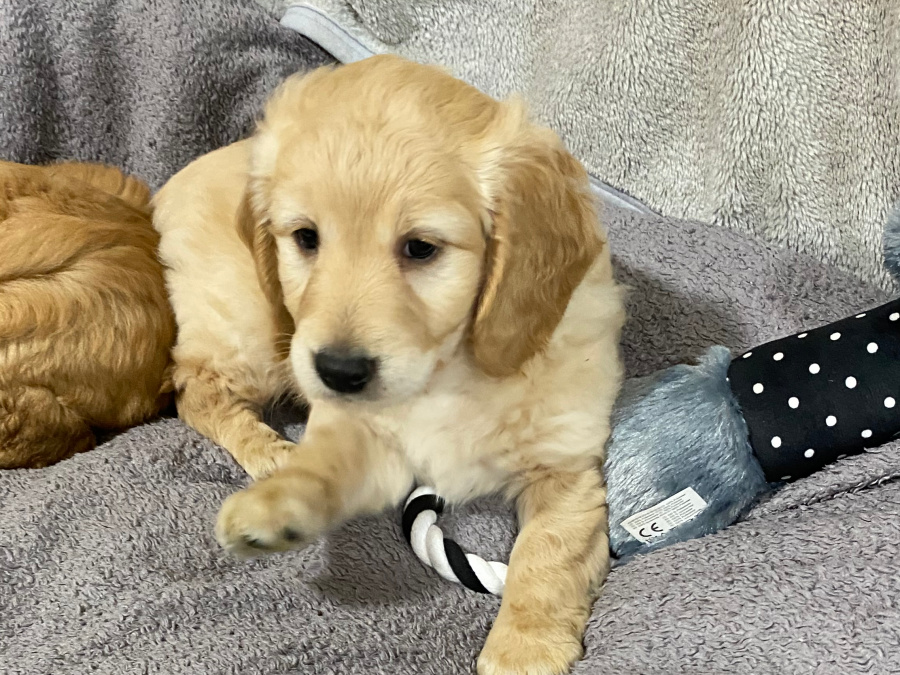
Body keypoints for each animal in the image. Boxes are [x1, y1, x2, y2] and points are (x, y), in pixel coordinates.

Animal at [155, 56, 624, 675]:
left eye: (420, 248)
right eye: (306, 238)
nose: (338, 371)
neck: (448, 368)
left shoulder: (566, 462)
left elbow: (549, 555)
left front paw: (525, 649)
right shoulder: (362, 428)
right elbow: (327, 464)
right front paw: (276, 504)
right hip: (253, 323)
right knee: (195, 388)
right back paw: (268, 449)